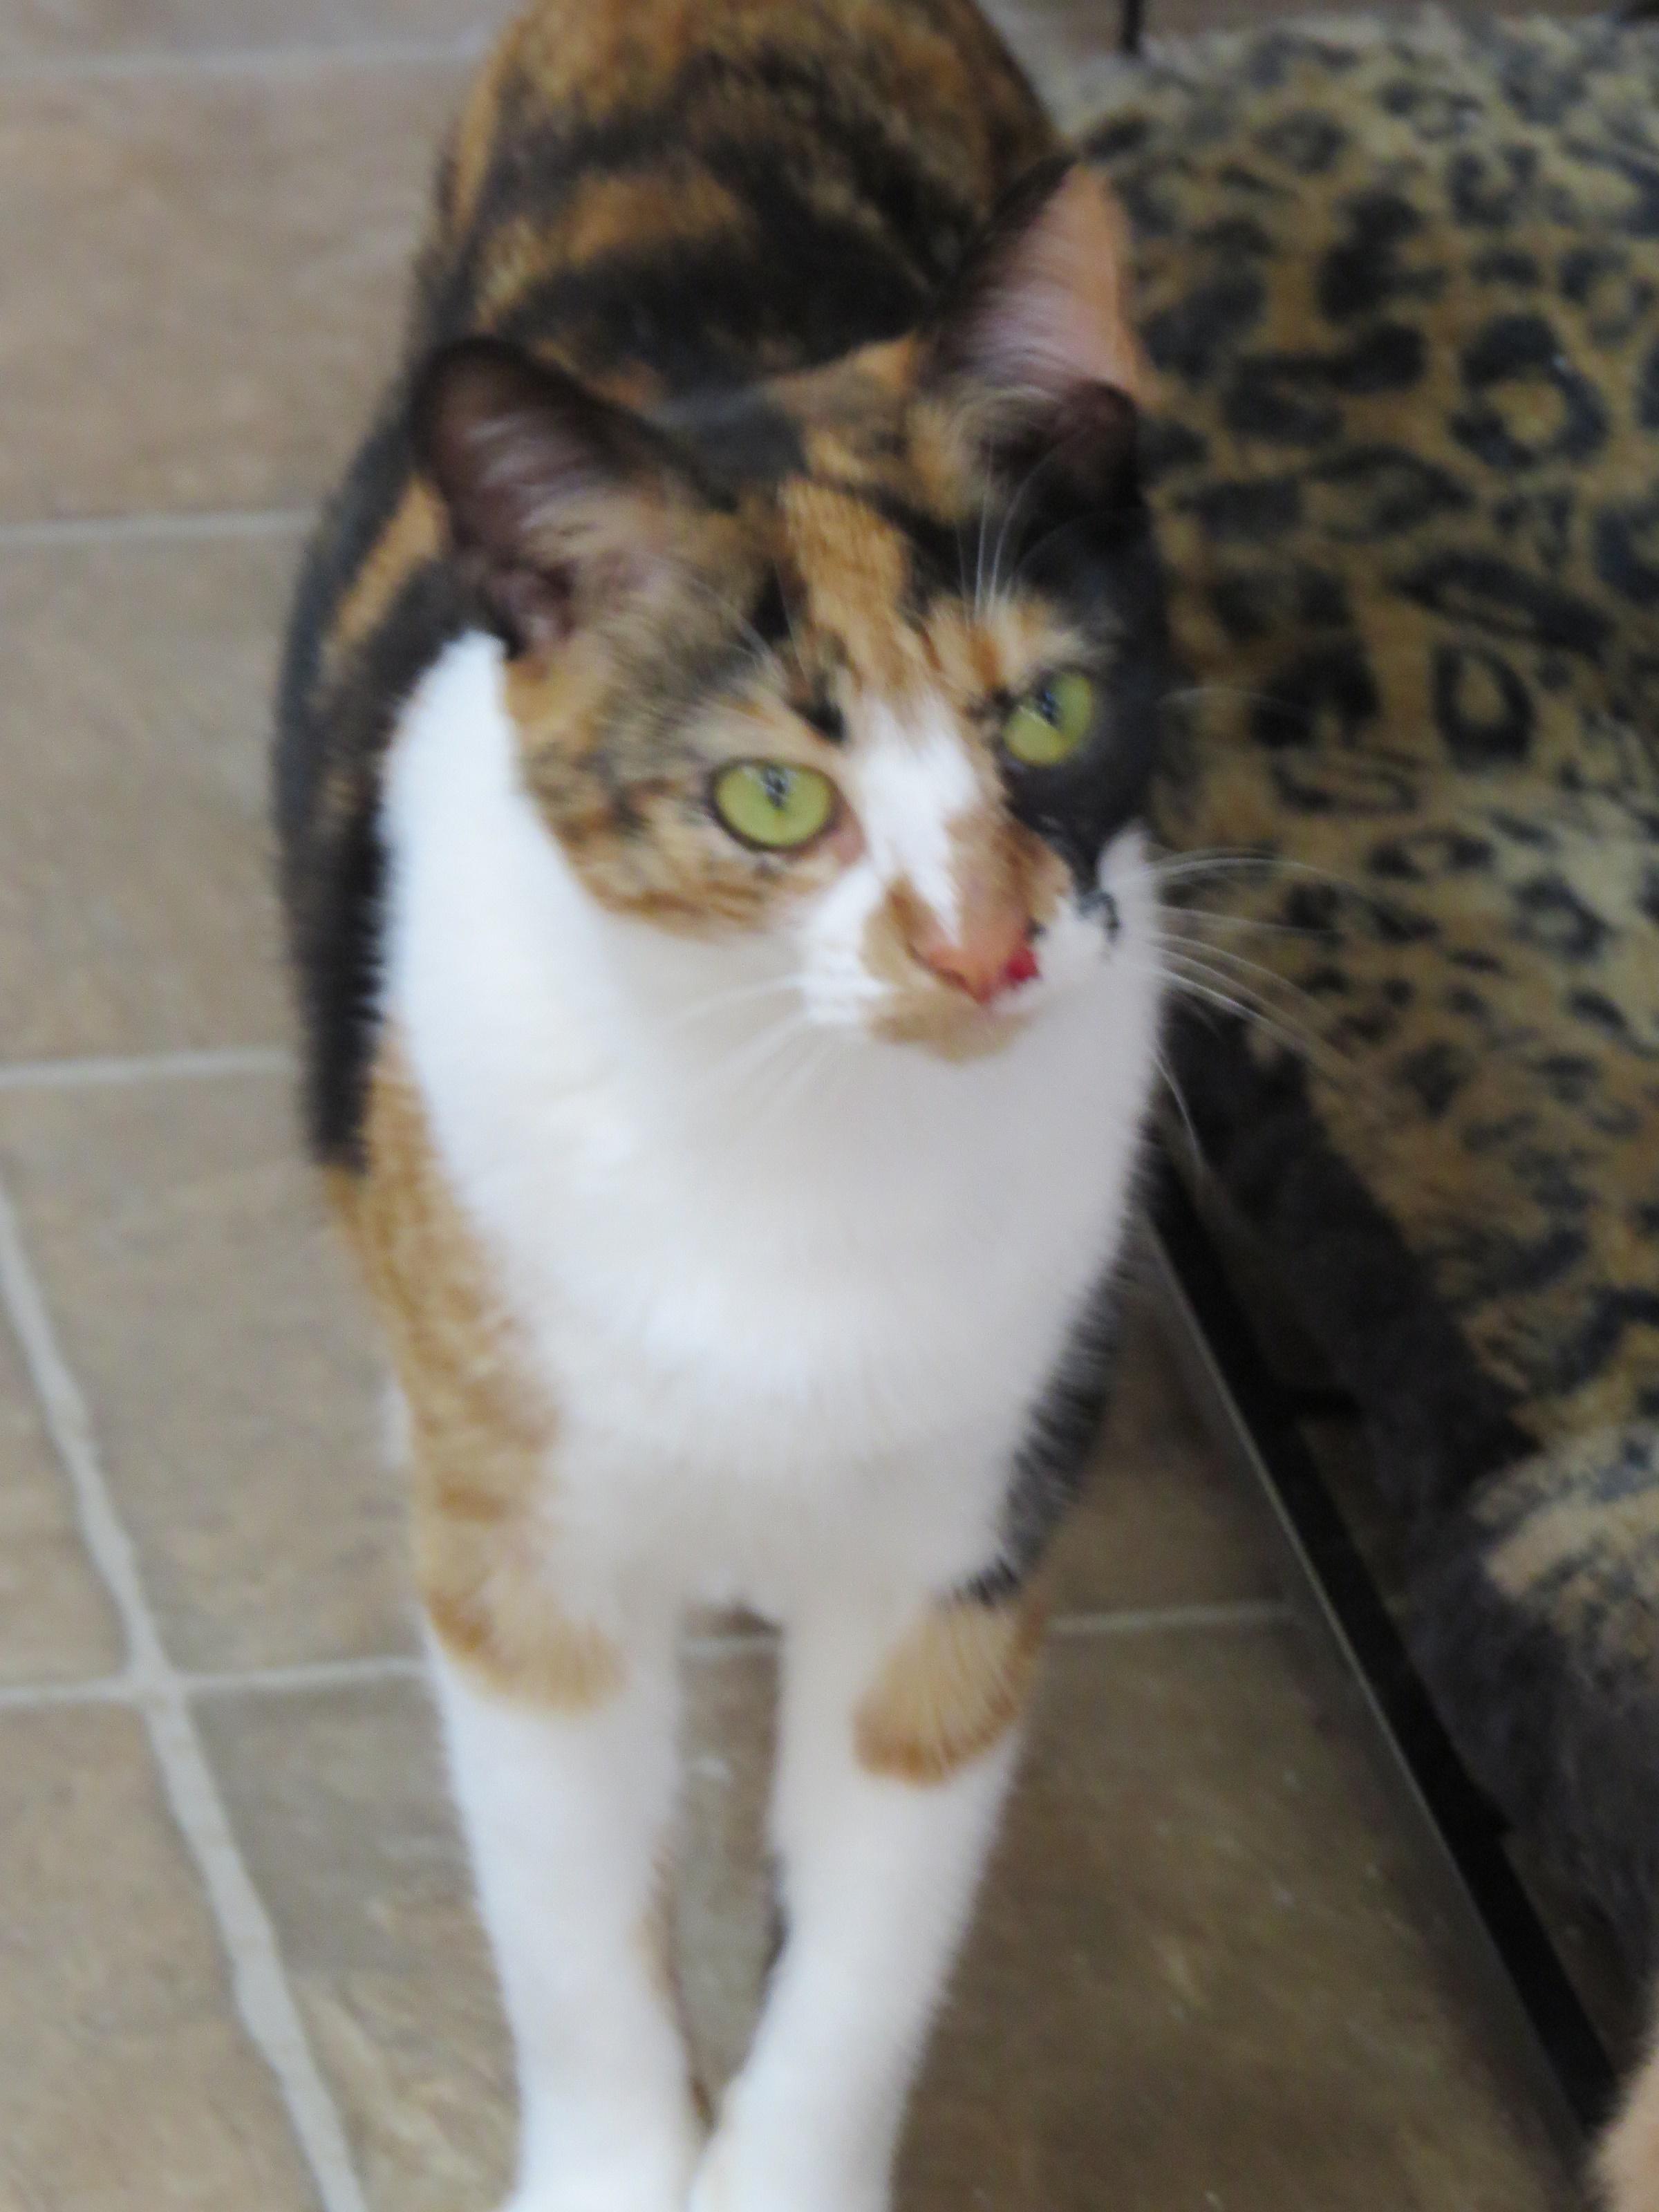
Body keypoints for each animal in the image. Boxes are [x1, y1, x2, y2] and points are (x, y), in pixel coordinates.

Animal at [276, 4, 1168, 2212]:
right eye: (774, 795)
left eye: (1047, 711)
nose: (979, 949)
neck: (802, 1140)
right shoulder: (536, 1582)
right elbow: (573, 1930)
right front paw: (614, 2164)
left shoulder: (961, 1557)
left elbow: (859, 1965)